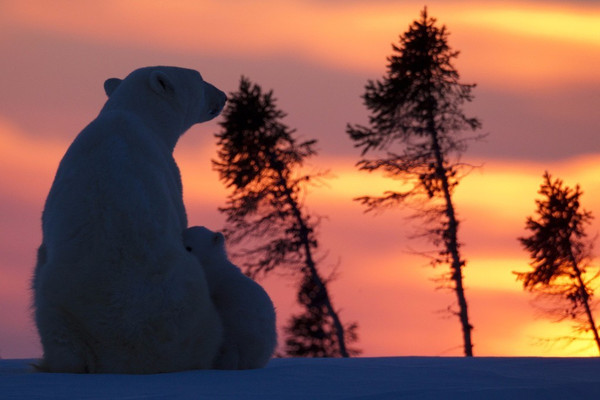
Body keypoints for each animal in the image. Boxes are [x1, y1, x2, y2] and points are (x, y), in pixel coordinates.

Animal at [34, 65, 229, 376]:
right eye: (199, 77)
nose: (223, 96)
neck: (129, 113)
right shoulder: (169, 173)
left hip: (58, 310)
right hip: (190, 304)